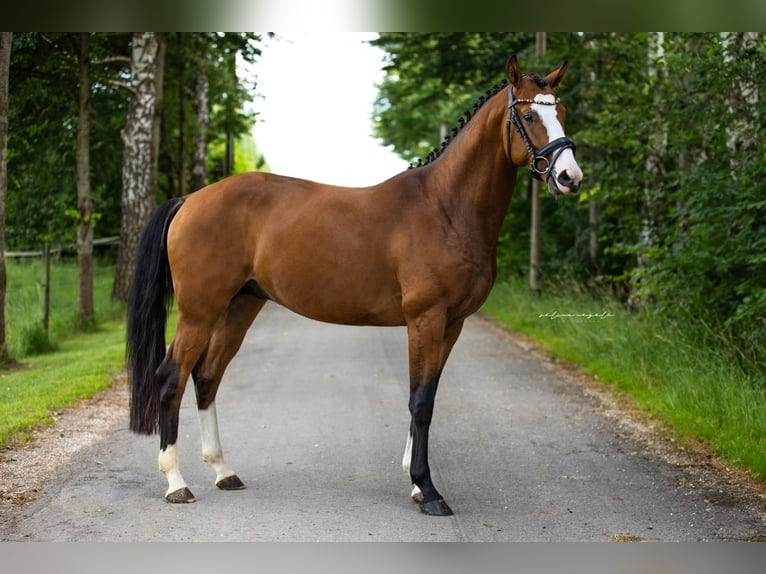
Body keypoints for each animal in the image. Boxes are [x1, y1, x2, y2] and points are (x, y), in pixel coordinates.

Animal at [127, 57, 584, 516]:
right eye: (529, 116)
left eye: (561, 113)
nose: (570, 177)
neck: (444, 207)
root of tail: (190, 199)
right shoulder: (426, 319)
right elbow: (420, 400)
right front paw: (428, 490)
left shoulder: (452, 324)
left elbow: (428, 395)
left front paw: (414, 481)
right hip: (199, 310)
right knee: (171, 377)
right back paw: (176, 483)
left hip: (240, 306)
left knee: (207, 376)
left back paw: (224, 471)